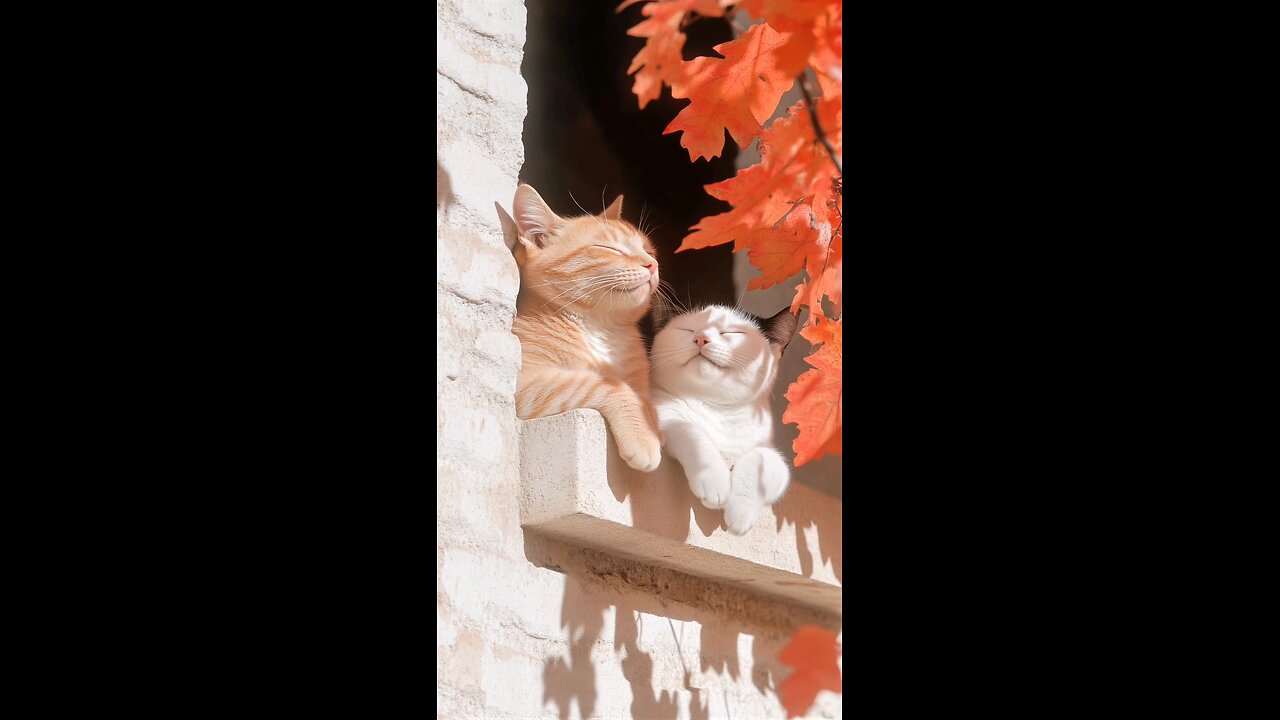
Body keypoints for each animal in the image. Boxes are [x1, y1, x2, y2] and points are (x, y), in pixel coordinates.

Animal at [496, 181, 665, 468]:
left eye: (649, 250)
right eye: (610, 249)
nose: (652, 264)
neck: (602, 329)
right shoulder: (522, 387)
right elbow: (605, 383)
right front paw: (644, 432)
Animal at [650, 302, 798, 532]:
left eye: (732, 333)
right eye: (688, 330)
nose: (701, 338)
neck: (717, 409)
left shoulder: (773, 457)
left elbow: (760, 459)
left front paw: (741, 512)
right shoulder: (664, 415)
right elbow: (693, 433)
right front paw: (714, 479)